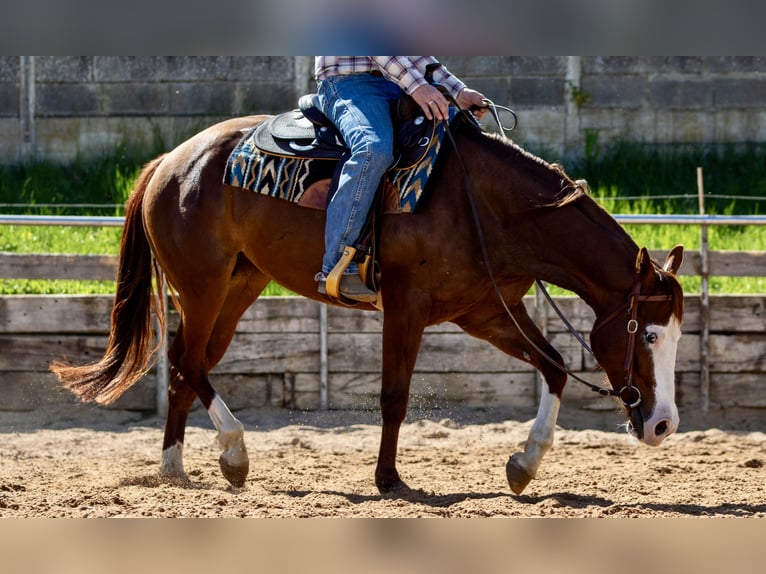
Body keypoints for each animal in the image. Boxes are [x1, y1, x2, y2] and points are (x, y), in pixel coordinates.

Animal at [51, 111, 684, 495]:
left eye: (678, 336)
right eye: (648, 333)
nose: (662, 425)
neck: (489, 206)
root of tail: (168, 162)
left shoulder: (483, 312)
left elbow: (553, 366)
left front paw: (524, 465)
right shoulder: (407, 307)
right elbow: (394, 397)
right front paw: (388, 479)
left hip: (236, 288)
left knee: (190, 366)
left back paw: (175, 467)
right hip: (201, 287)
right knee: (188, 363)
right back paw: (233, 453)